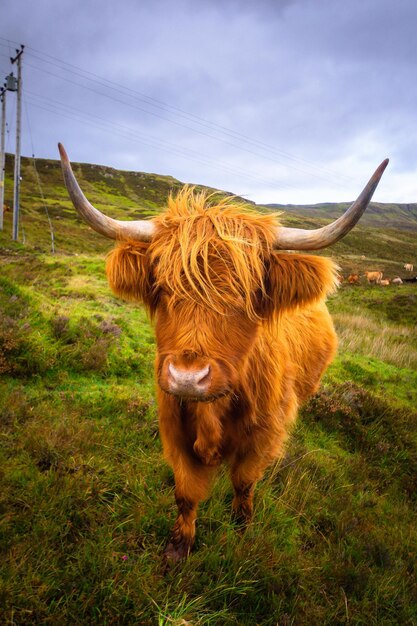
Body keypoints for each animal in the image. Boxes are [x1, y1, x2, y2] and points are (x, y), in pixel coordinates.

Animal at [57, 144, 386, 564]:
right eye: (162, 289)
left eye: (245, 297)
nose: (187, 377)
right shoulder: (173, 427)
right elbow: (185, 492)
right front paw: (177, 548)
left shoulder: (263, 434)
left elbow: (244, 484)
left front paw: (242, 531)